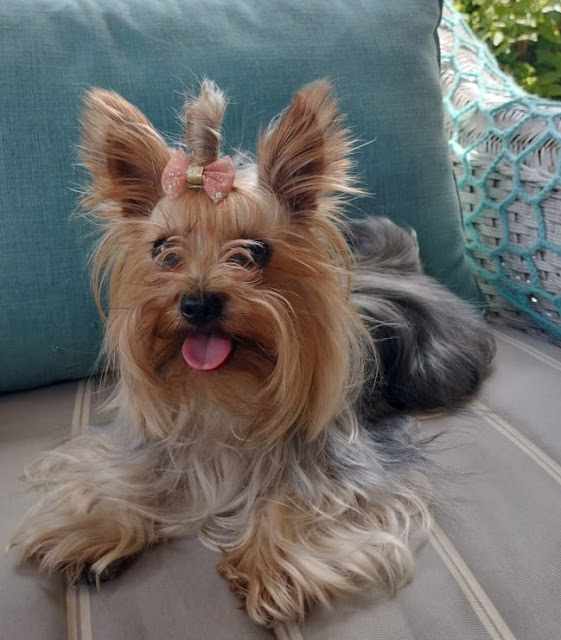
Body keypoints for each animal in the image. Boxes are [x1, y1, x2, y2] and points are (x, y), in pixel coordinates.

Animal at [12, 80, 494, 624]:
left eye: (256, 250)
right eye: (162, 250)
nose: (198, 302)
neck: (225, 393)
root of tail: (402, 267)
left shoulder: (350, 468)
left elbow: (307, 499)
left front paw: (270, 564)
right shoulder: (152, 444)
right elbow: (123, 475)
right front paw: (92, 529)